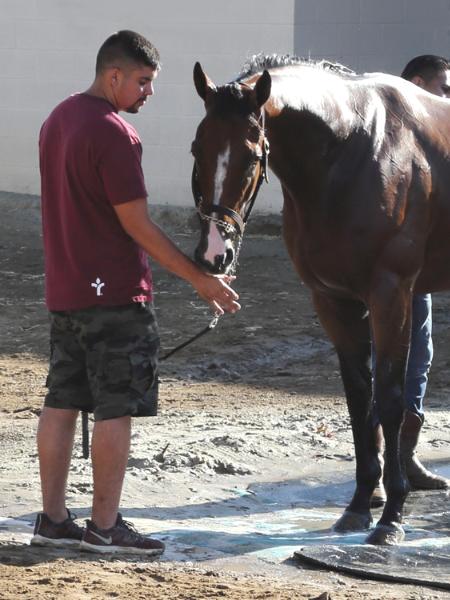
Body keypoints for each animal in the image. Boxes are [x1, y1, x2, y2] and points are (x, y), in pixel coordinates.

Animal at [191, 54, 450, 548]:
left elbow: (390, 398)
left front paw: (392, 516)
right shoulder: (332, 300)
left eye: (252, 157)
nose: (215, 253)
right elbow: (359, 400)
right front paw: (359, 506)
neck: (351, 152)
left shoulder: (391, 294)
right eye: (197, 149)